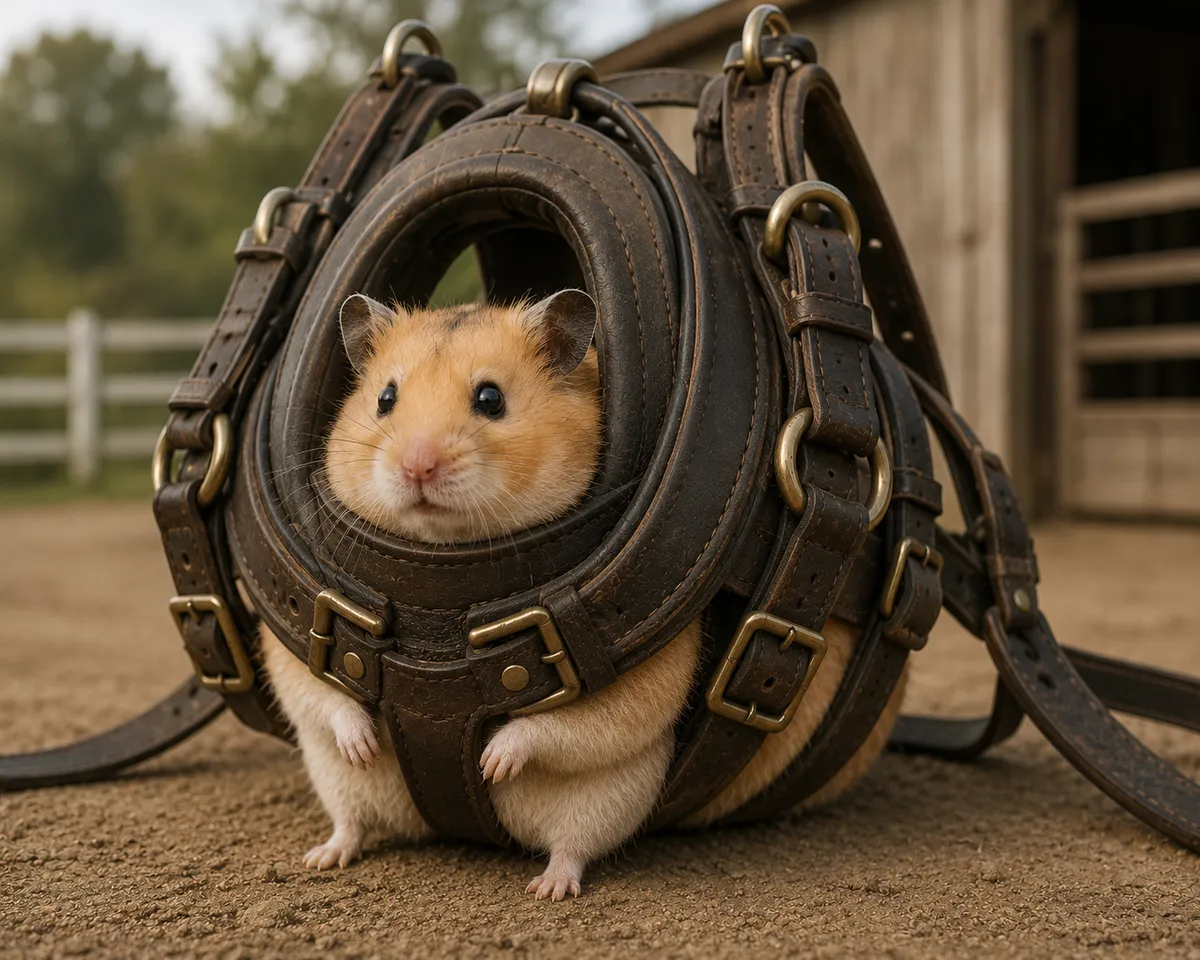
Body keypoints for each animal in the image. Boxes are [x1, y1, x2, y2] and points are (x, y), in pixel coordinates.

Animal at [260, 288, 906, 901]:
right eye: (385, 398)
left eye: (490, 399)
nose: (416, 466)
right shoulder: (290, 647)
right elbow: (322, 694)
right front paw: (365, 744)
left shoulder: (637, 680)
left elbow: (559, 724)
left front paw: (492, 764)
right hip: (336, 782)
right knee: (352, 820)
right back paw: (321, 858)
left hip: (604, 801)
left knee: (572, 847)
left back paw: (548, 887)